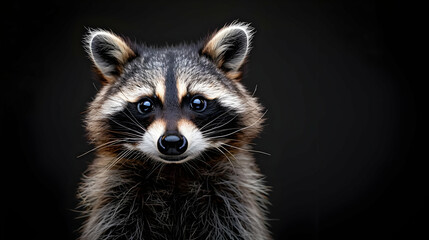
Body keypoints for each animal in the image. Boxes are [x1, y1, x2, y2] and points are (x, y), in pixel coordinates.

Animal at [78, 22, 270, 240]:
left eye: (197, 103)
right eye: (145, 105)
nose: (171, 142)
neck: (174, 171)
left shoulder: (231, 198)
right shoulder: (117, 199)